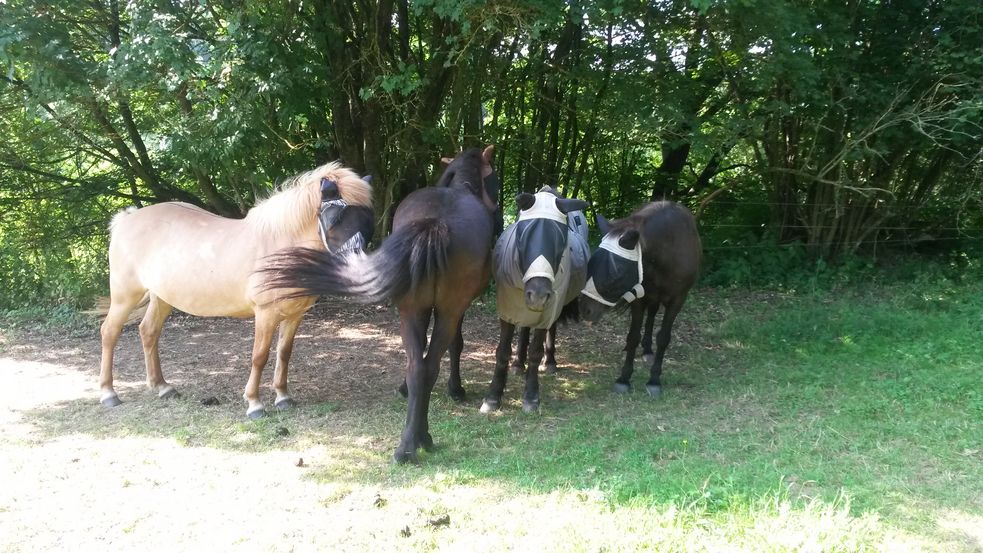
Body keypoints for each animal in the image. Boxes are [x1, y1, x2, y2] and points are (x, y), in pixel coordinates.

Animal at [97, 162, 372, 416]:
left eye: (367, 217)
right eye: (335, 217)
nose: (359, 269)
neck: (279, 246)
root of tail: (127, 219)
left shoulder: (294, 315)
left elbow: (284, 353)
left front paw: (282, 397)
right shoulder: (265, 313)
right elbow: (259, 356)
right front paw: (254, 403)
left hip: (162, 298)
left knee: (149, 331)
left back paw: (162, 387)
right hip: (125, 296)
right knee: (109, 332)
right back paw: (108, 393)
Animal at [260, 146, 500, 462]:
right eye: (495, 176)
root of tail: (434, 223)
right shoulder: (454, 309)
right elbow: (455, 345)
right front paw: (456, 390)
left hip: (414, 310)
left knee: (419, 367)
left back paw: (410, 444)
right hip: (444, 310)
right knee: (428, 365)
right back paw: (420, 440)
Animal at [480, 189, 588, 410]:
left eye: (561, 242)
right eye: (522, 238)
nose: (538, 295)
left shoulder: (547, 311)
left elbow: (536, 352)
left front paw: (531, 397)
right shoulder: (507, 309)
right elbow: (502, 351)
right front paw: (493, 396)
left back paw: (550, 362)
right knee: (524, 328)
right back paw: (518, 364)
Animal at [580, 203, 704, 396]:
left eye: (615, 272)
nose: (584, 309)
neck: (668, 251)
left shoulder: (677, 300)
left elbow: (663, 338)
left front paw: (654, 380)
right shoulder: (639, 299)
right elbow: (633, 336)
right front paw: (624, 378)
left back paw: (648, 350)